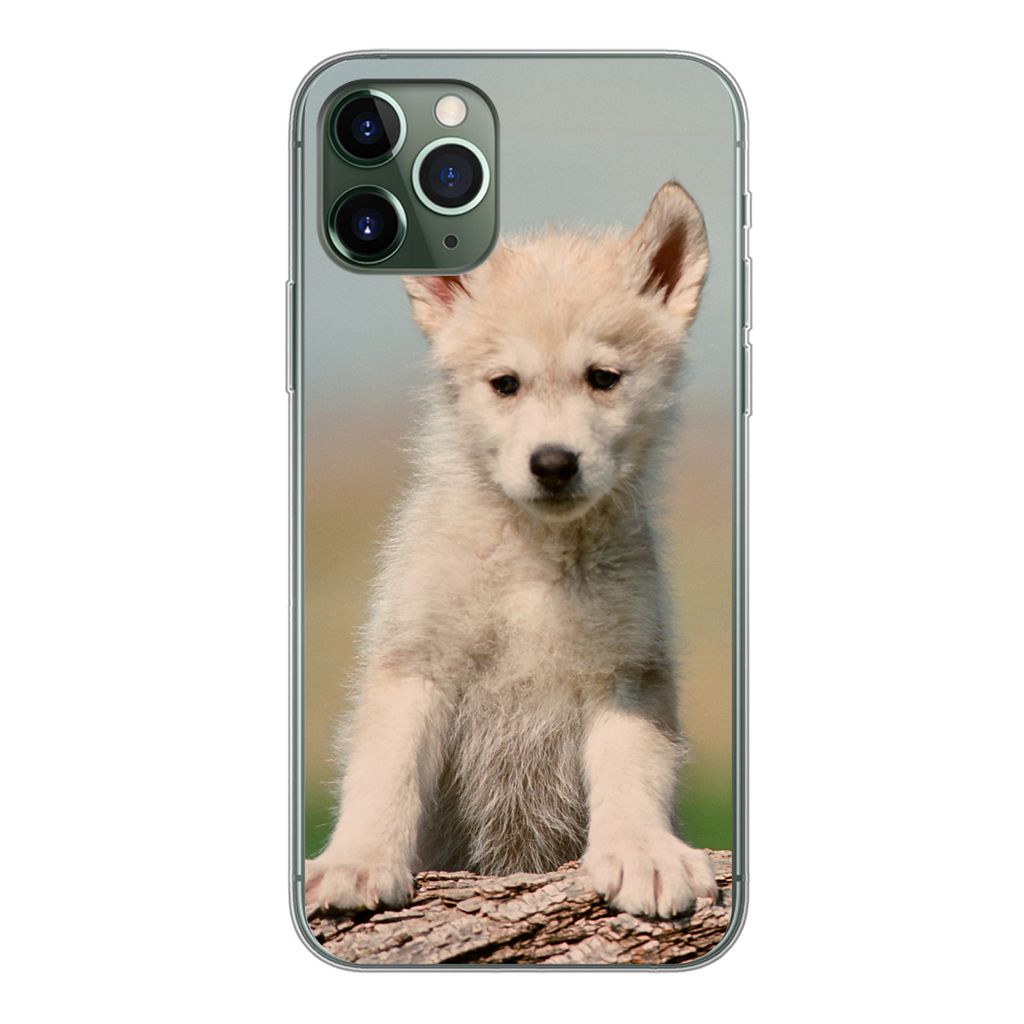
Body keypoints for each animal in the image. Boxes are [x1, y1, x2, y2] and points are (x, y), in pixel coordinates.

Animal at [305, 181, 718, 919]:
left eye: (603, 378)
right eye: (505, 384)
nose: (553, 463)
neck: (534, 559)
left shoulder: (626, 674)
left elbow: (633, 770)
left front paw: (643, 852)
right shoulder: (415, 664)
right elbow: (385, 774)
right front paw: (358, 861)